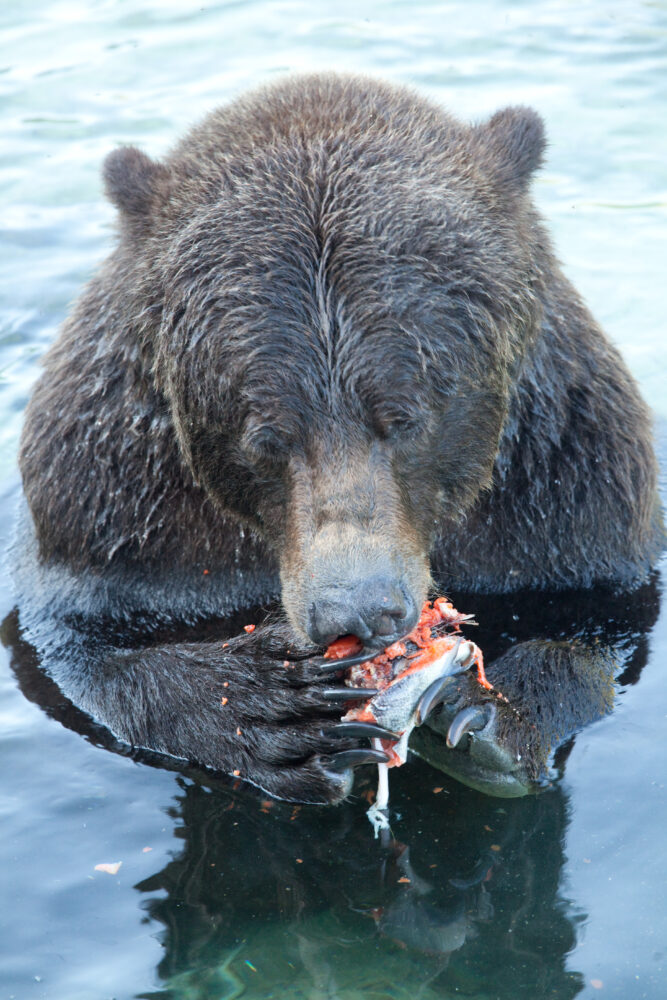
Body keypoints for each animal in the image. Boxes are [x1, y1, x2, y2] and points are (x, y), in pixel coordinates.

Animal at [15, 73, 663, 804]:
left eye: (405, 417)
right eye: (267, 436)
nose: (357, 611)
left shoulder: (564, 481)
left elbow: (602, 617)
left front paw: (488, 712)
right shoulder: (114, 512)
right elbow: (81, 650)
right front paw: (271, 710)